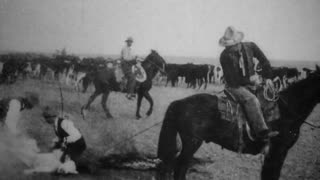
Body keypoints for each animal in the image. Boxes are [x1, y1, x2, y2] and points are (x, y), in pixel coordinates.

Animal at [159, 66, 320, 180]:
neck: (286, 110)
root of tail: (179, 102)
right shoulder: (277, 152)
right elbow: (271, 175)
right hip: (192, 143)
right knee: (179, 168)